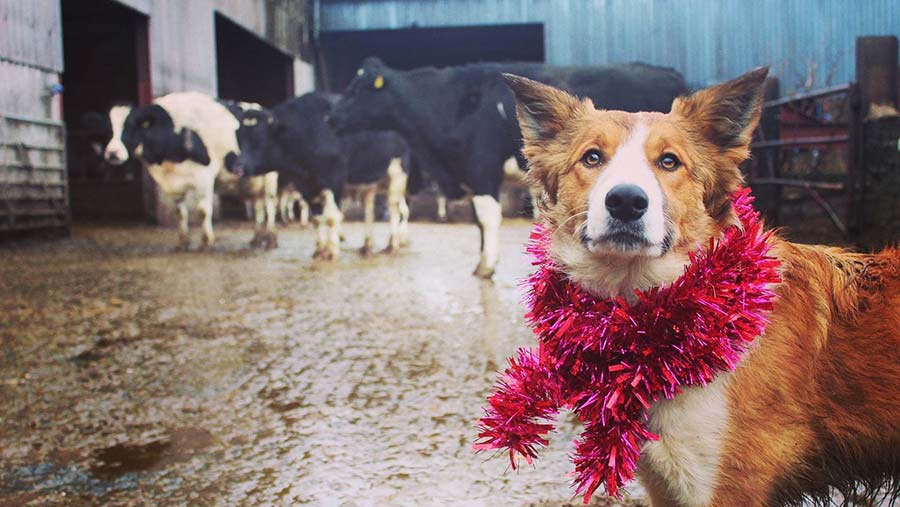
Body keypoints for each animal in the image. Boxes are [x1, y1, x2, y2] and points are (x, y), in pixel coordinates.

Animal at [234, 92, 414, 258]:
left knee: (394, 208)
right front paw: (319, 251)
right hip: (370, 180)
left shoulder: (334, 179)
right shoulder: (305, 185)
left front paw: (332, 252)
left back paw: (392, 245)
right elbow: (317, 218)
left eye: (260, 139)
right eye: (238, 137)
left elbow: (331, 218)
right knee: (369, 210)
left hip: (397, 173)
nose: (239, 167)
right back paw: (367, 247)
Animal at [330, 58, 688, 278]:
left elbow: (488, 217)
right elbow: (479, 222)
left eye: (358, 89)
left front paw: (486, 266)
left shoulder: (482, 169)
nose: (331, 118)